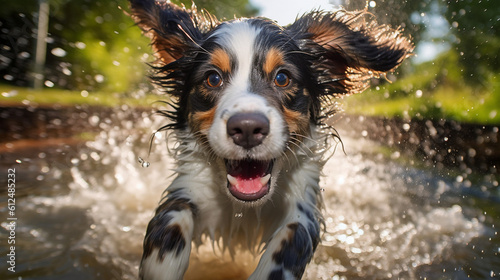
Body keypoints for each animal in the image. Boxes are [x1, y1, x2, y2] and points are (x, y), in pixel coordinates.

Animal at [128, 1, 410, 278]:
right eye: (213, 78)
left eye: (282, 78)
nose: (247, 128)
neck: (245, 206)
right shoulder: (191, 184)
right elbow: (171, 218)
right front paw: (162, 267)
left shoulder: (302, 199)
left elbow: (294, 239)